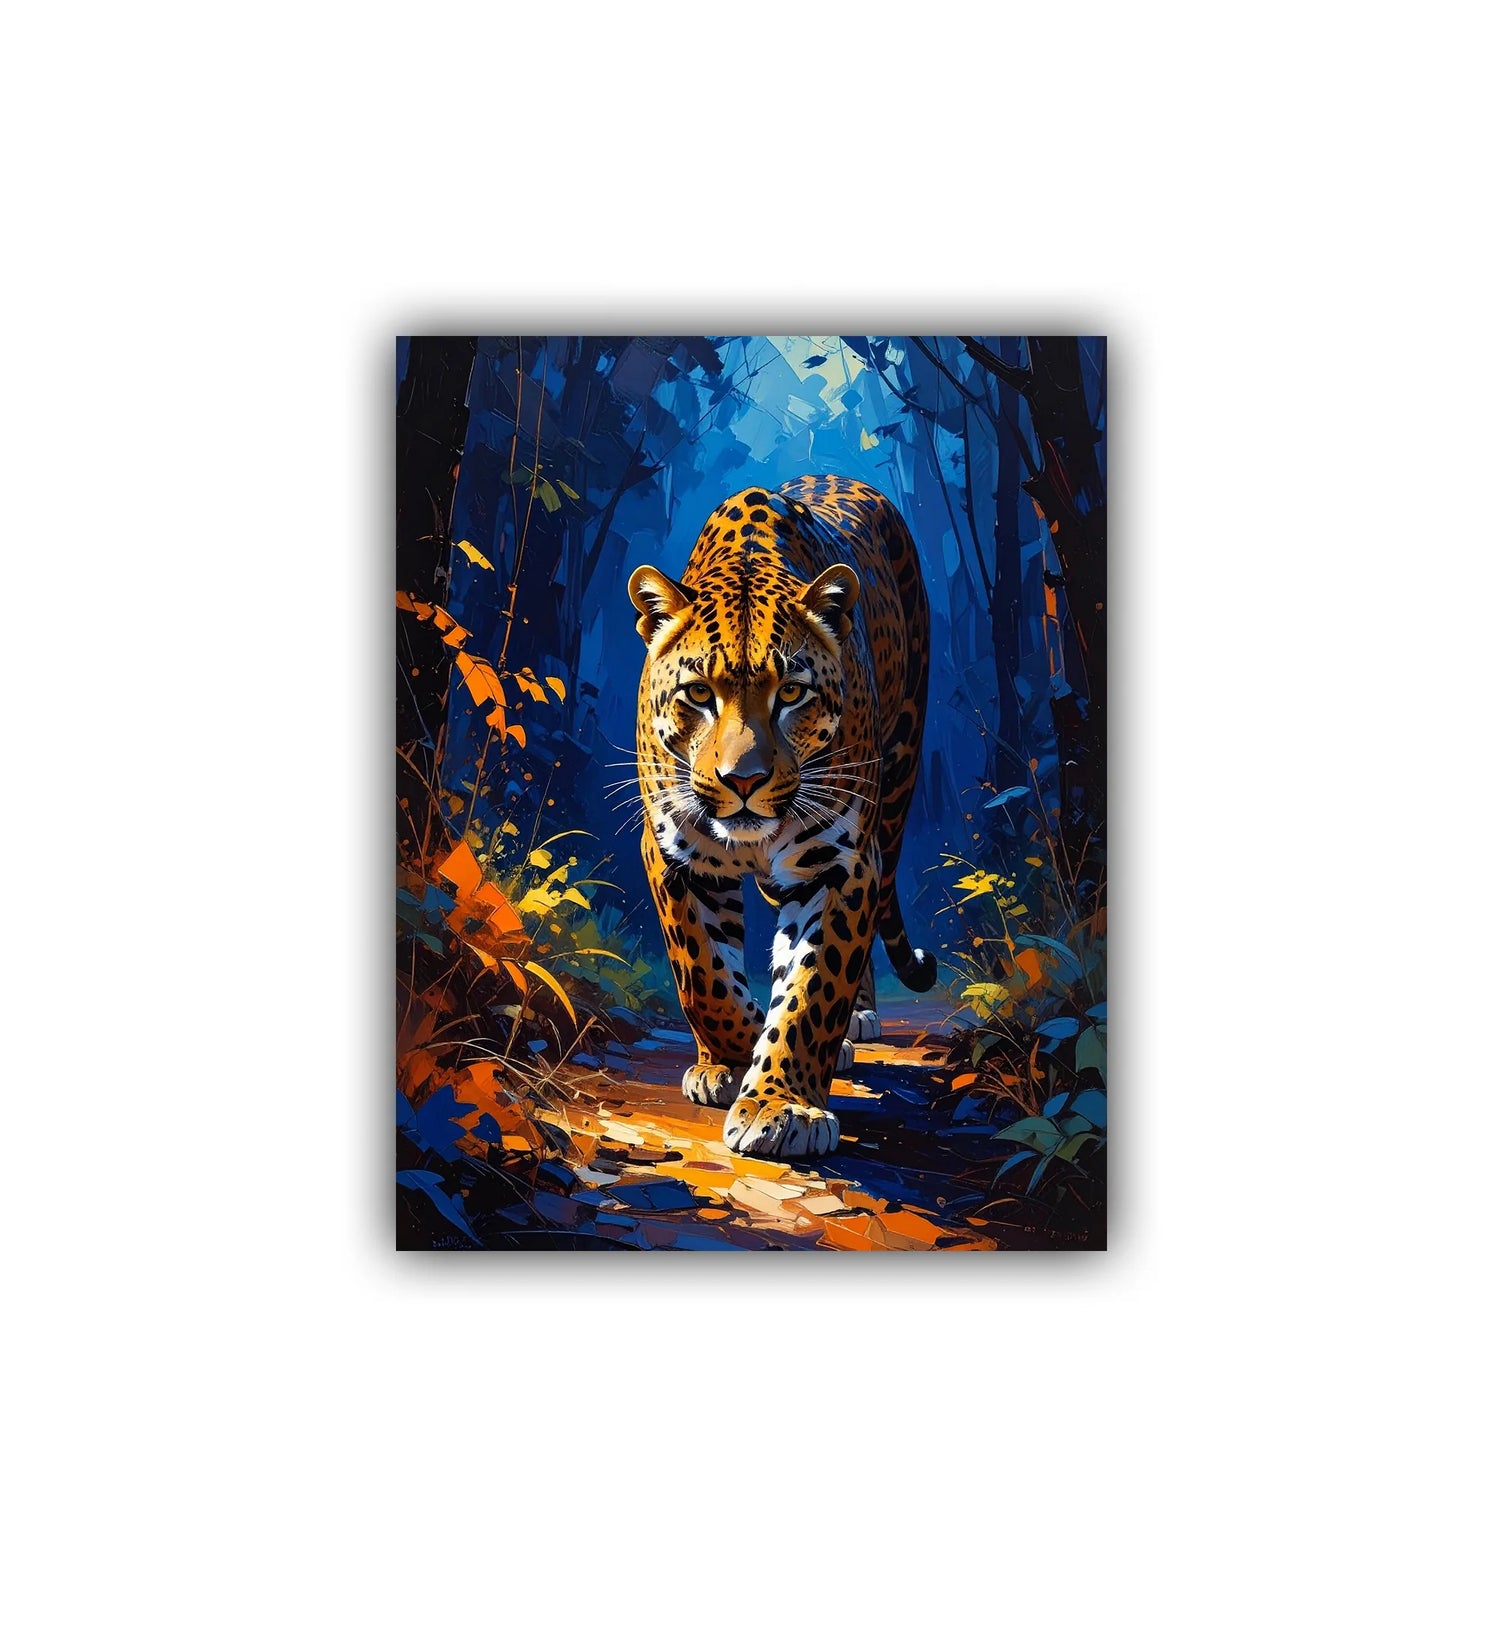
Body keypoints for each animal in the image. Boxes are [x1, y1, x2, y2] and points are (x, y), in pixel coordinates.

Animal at [627, 474, 935, 1160]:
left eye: (791, 693)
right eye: (698, 694)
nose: (743, 781)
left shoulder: (840, 863)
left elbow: (812, 988)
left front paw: (781, 1105)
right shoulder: (674, 853)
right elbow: (701, 974)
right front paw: (729, 1058)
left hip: (898, 786)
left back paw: (857, 1020)